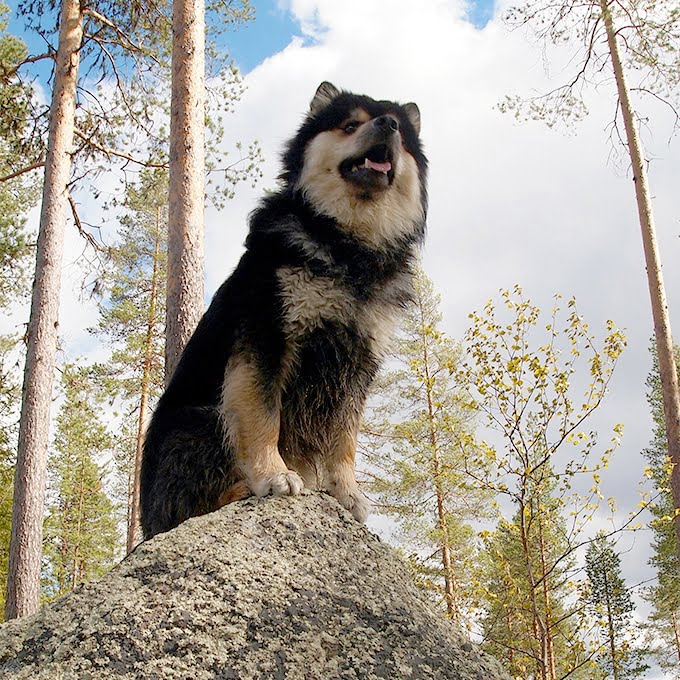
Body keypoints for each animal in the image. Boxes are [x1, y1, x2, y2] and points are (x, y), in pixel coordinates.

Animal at [140, 79, 428, 540]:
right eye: (350, 125)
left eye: (400, 131)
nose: (388, 125)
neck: (348, 246)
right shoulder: (268, 339)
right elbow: (263, 418)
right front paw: (272, 475)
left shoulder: (358, 363)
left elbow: (345, 438)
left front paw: (345, 492)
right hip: (199, 421)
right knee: (188, 507)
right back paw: (239, 490)